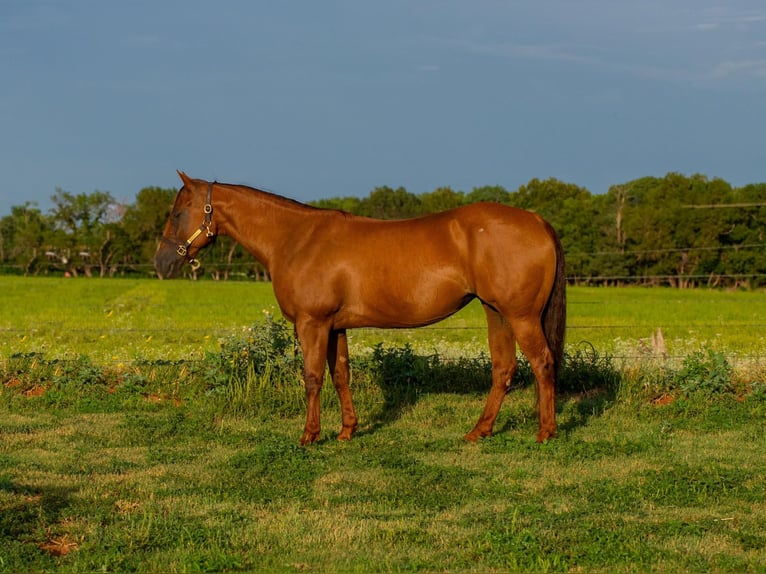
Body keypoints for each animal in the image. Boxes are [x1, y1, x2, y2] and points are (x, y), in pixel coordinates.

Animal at [155, 172, 566, 445]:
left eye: (177, 213)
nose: (162, 263)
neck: (296, 238)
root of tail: (537, 220)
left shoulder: (312, 323)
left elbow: (312, 377)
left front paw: (309, 435)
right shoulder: (335, 326)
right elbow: (340, 375)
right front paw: (346, 430)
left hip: (521, 316)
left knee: (543, 363)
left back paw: (545, 432)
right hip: (496, 313)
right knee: (504, 369)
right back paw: (479, 431)